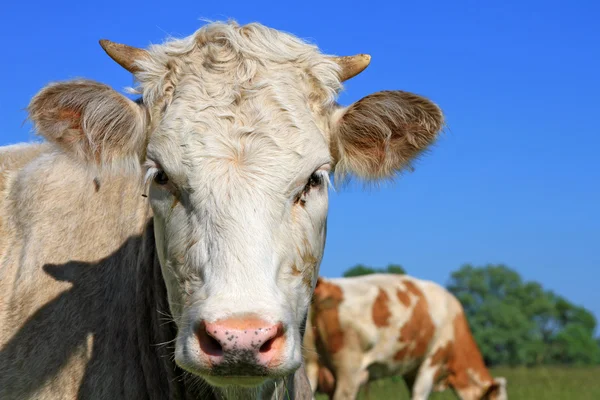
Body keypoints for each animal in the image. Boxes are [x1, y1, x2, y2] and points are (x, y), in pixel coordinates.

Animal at [304, 276, 506, 400]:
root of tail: (327, 285)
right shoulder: (433, 359)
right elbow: (419, 394)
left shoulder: (411, 370)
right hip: (350, 370)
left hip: (310, 365)